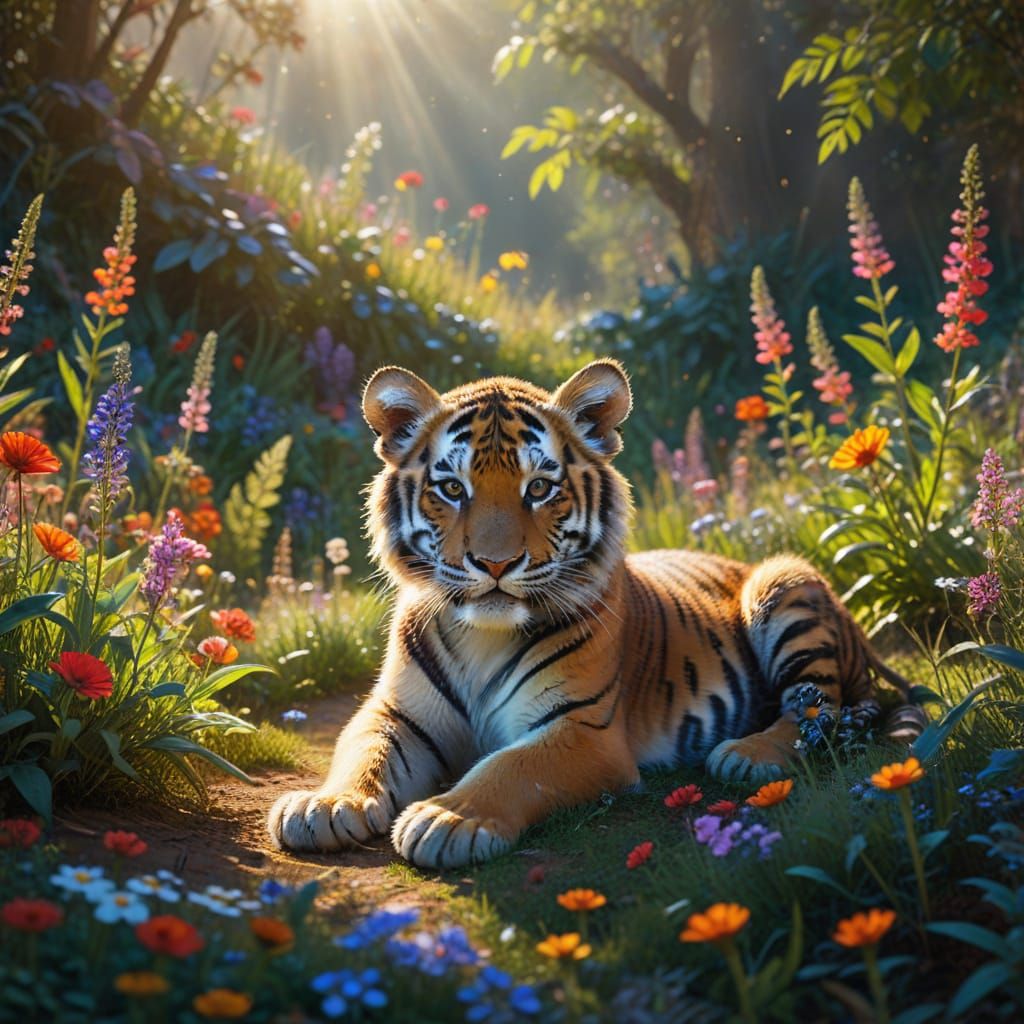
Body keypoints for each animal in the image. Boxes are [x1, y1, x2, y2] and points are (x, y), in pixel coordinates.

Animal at [268, 359, 922, 869]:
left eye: (539, 488)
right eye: (452, 489)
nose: (495, 563)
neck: (483, 635)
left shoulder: (584, 729)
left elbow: (511, 766)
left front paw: (448, 818)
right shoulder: (396, 713)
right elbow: (362, 750)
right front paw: (325, 805)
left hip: (781, 584)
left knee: (821, 712)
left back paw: (749, 754)